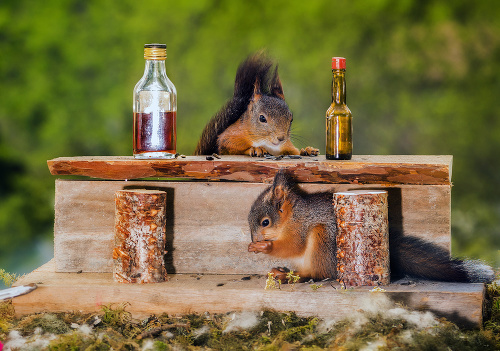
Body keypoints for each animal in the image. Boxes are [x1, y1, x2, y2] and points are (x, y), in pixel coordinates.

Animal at [246, 170, 492, 284]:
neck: (291, 216)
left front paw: (264, 247)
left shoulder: (302, 226)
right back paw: (283, 271)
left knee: (319, 273)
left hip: (323, 239)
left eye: (265, 222)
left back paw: (292, 275)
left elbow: (293, 246)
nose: (255, 240)